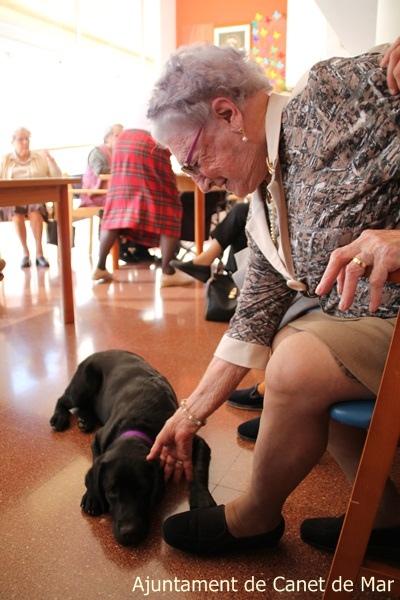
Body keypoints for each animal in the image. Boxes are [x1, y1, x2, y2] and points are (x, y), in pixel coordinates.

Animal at [50, 350, 216, 548]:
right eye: (112, 491)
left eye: (144, 489)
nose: (130, 533)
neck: (137, 424)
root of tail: (98, 352)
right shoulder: (98, 439)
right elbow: (95, 462)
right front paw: (92, 497)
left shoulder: (188, 437)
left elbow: (198, 470)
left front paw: (202, 500)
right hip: (82, 387)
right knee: (62, 399)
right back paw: (60, 418)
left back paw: (85, 419)